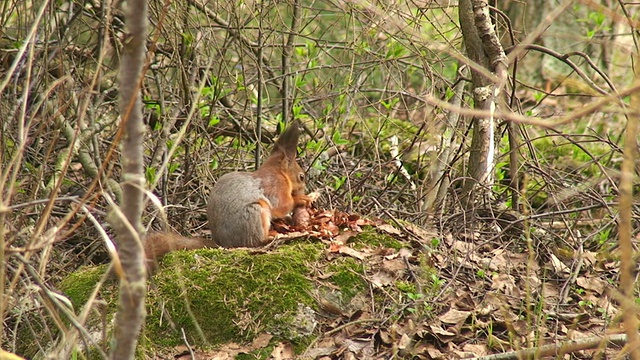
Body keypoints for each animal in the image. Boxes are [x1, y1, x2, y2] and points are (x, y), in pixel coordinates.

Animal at [143, 122, 312, 268]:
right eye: (301, 177)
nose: (303, 190)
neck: (278, 172)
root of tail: (223, 244)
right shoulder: (275, 185)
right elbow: (281, 205)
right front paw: (302, 199)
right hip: (255, 212)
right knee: (256, 241)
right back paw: (273, 235)